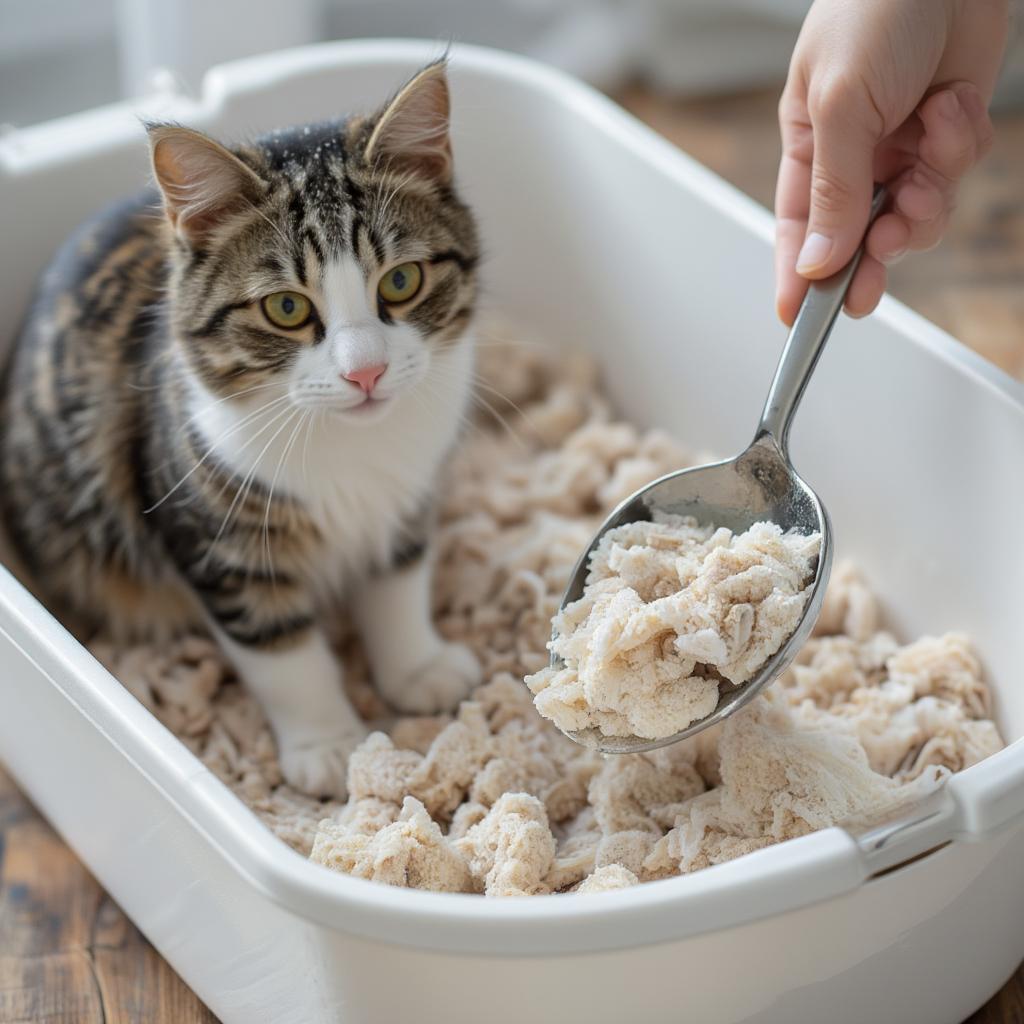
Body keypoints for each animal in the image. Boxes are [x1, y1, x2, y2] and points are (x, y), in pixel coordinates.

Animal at [0, 61, 483, 798]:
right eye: (286, 308)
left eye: (401, 281)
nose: (365, 372)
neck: (353, 451)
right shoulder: (219, 543)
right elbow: (282, 652)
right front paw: (329, 743)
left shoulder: (409, 499)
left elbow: (397, 588)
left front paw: (415, 668)